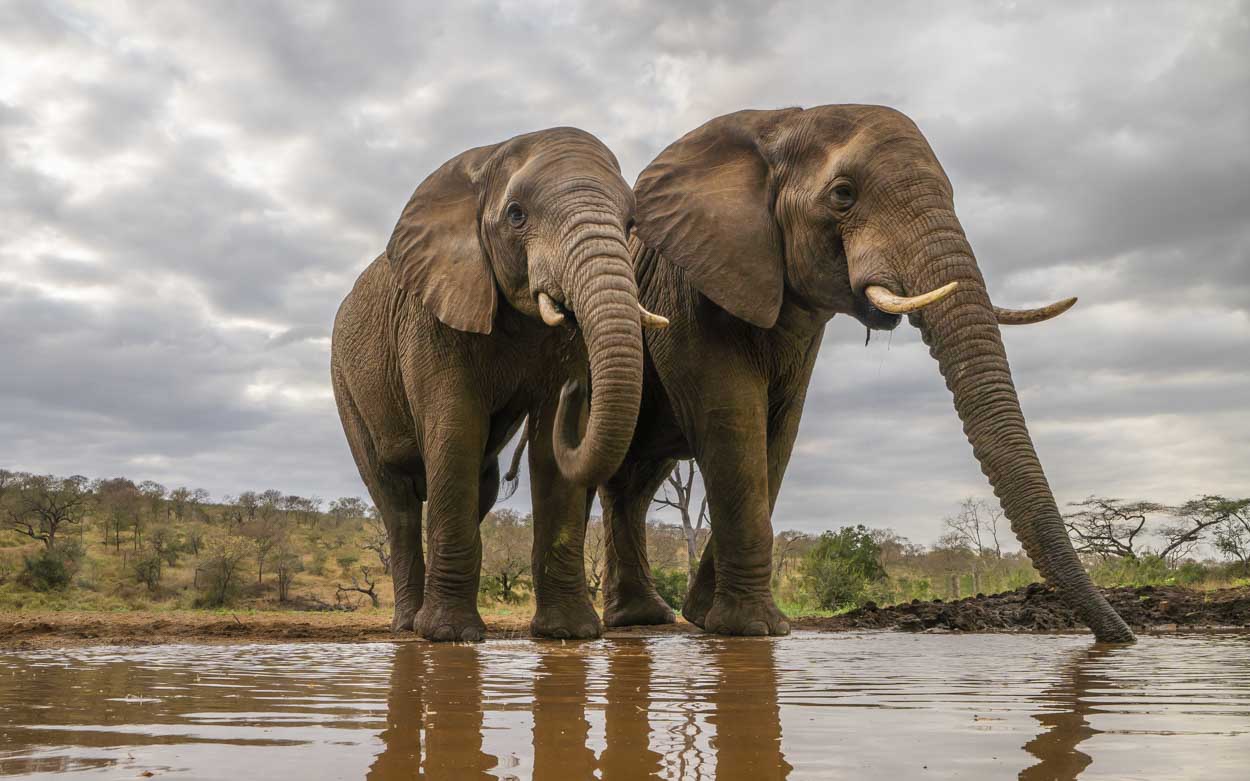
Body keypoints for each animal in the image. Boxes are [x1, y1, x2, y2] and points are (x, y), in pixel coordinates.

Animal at [327, 126, 670, 639]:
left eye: (631, 224)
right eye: (516, 215)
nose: (578, 391)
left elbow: (550, 454)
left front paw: (569, 633)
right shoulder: (431, 315)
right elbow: (455, 430)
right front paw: (449, 636)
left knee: (481, 484)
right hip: (345, 384)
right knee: (395, 497)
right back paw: (409, 626)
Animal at [600, 106, 1140, 644]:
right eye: (843, 195)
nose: (1122, 638)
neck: (775, 125)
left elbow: (778, 434)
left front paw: (711, 619)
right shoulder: (685, 290)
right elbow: (732, 421)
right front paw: (753, 629)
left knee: (636, 479)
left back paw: (645, 618)